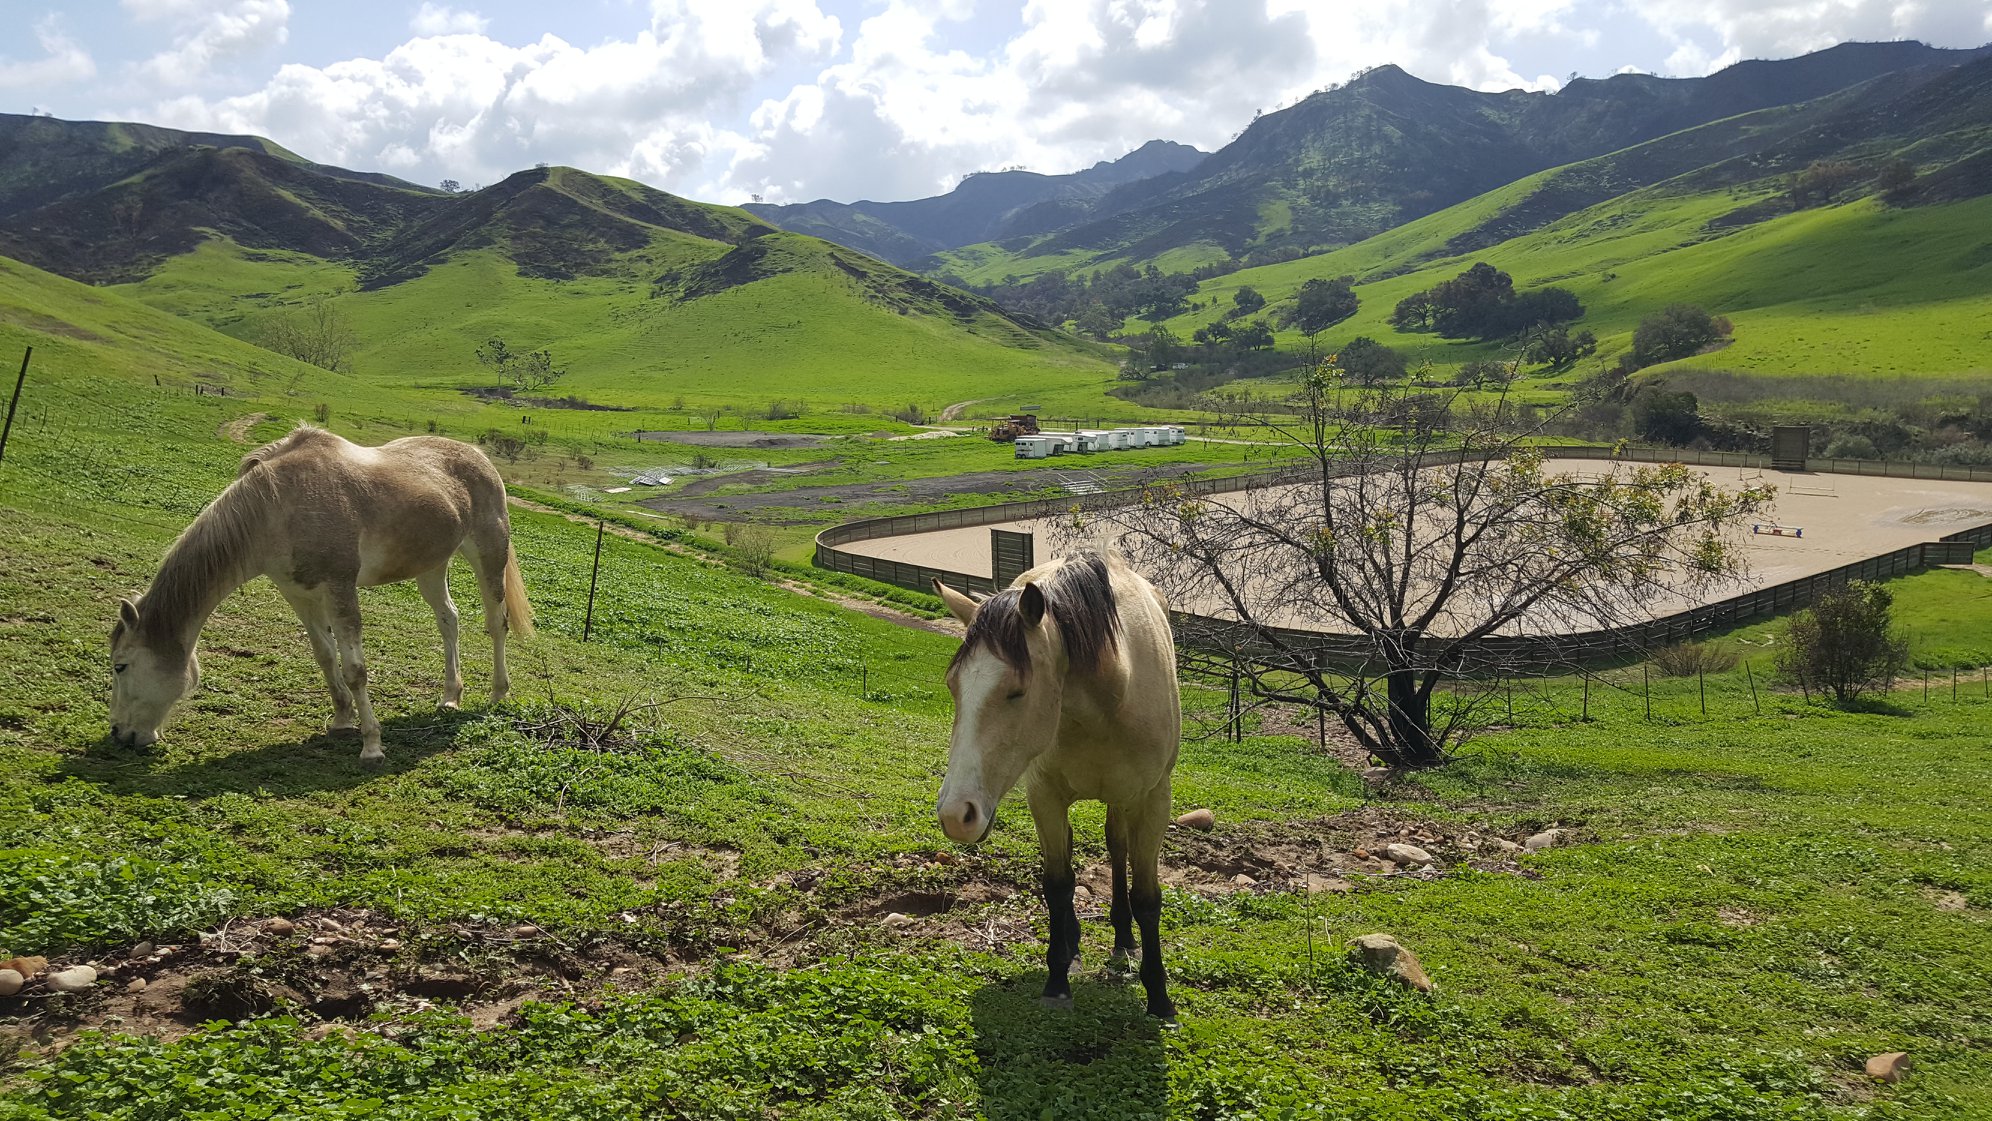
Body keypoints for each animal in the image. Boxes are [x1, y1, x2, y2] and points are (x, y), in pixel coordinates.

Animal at [109, 425, 532, 762]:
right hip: (431, 566)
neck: (277, 507)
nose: (119, 735)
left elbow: (355, 669)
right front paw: (342, 720)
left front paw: (371, 745)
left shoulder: (339, 586)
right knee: (449, 620)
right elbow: (326, 657)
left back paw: (498, 693)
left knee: (496, 623)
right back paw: (450, 696)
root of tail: (479, 457)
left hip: (488, 555)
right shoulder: (299, 593)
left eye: (120, 666)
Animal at [931, 552, 1182, 1020]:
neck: (1108, 696)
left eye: (1017, 691)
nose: (956, 815)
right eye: (954, 686)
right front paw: (1057, 979)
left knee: (1117, 847)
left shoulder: (1153, 800)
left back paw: (1124, 939)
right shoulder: (1044, 796)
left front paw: (1159, 997)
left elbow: (1146, 896)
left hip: (1123, 800)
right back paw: (1074, 943)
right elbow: (1058, 883)